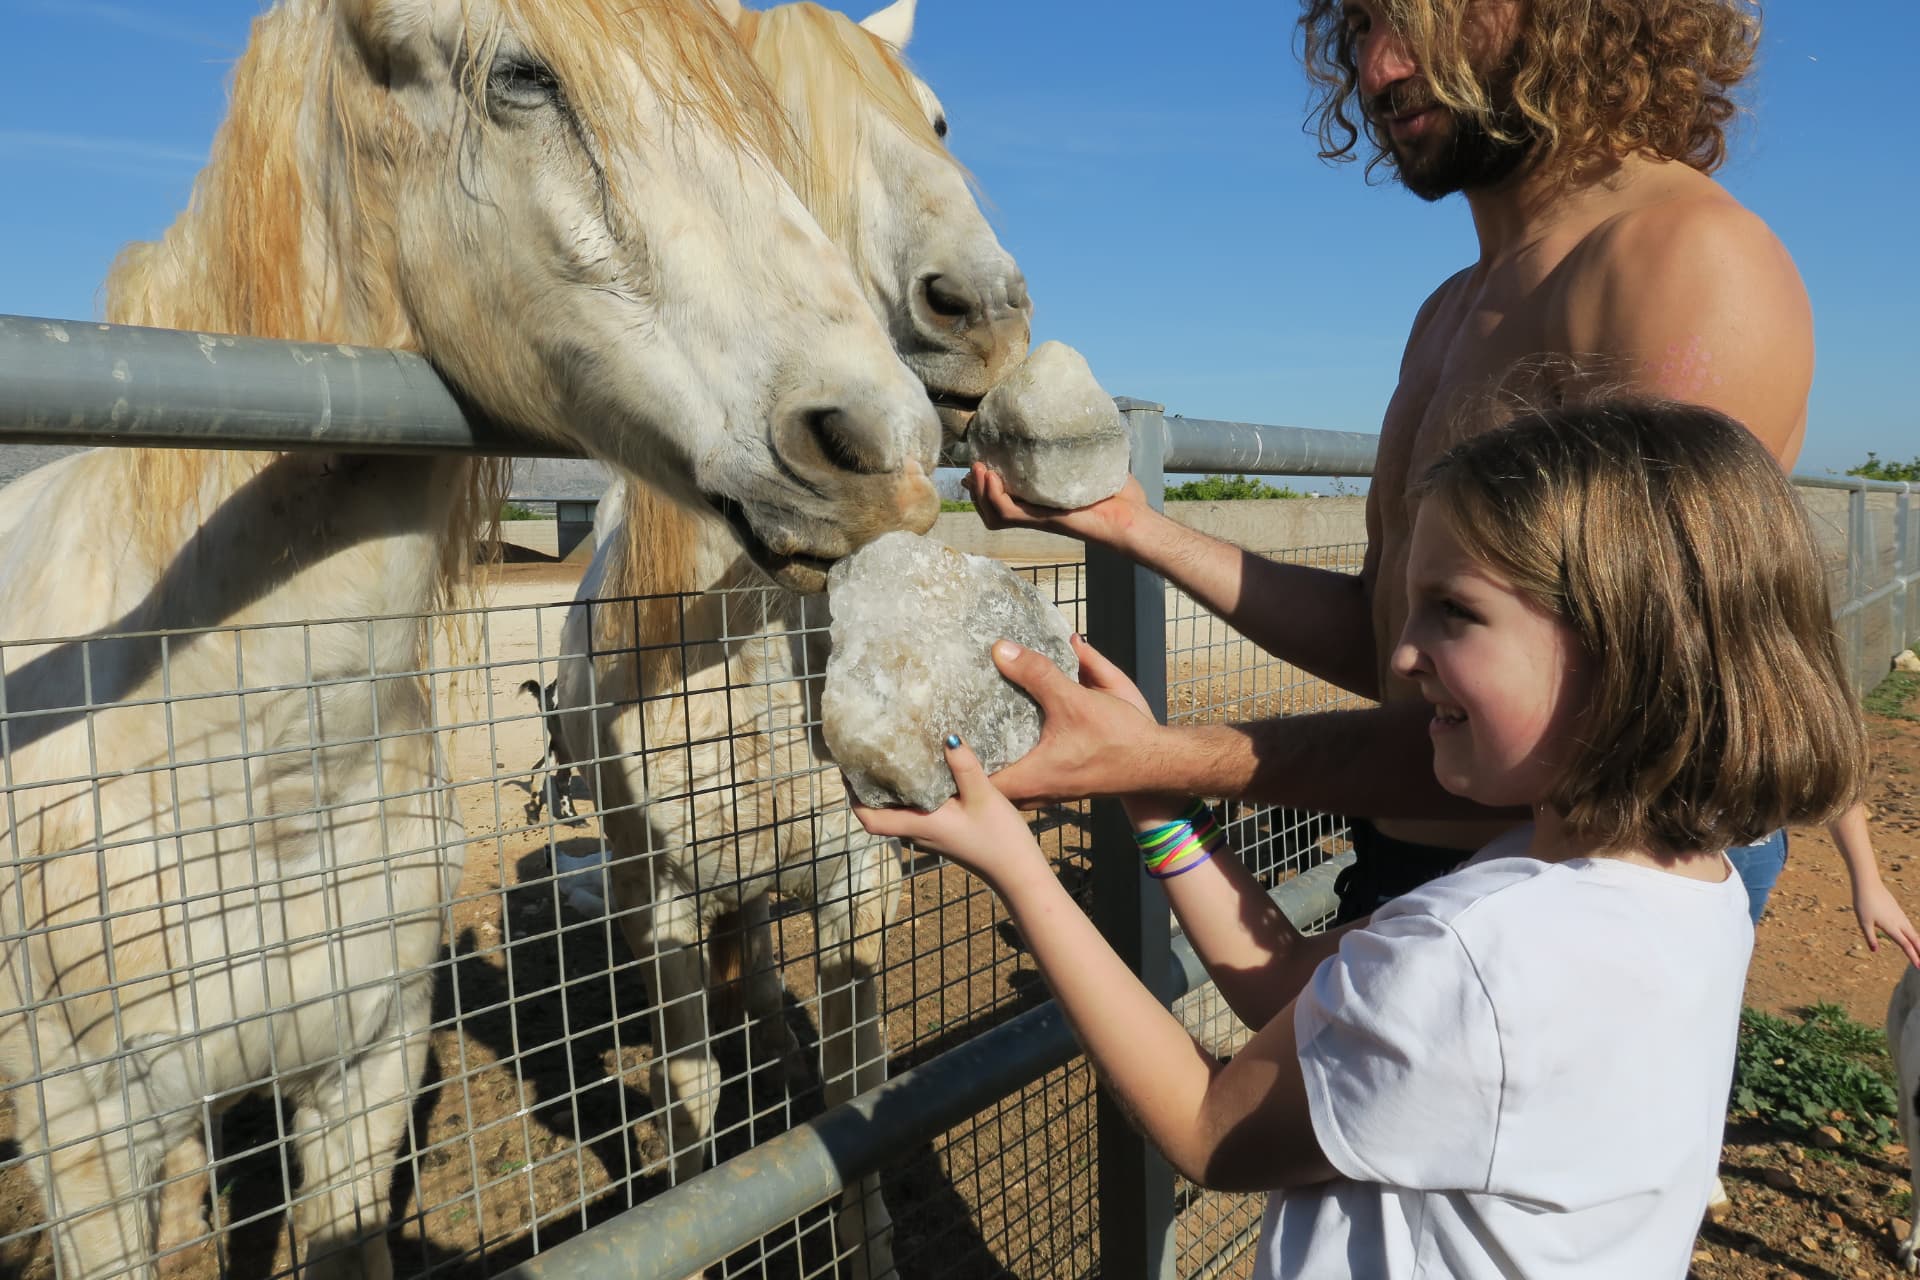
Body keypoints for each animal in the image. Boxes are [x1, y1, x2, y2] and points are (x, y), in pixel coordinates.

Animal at [552, 2, 1030, 1272]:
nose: (982, 309)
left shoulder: (856, 888)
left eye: (938, 120)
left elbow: (862, 1104)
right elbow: (687, 1101)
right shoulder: (670, 911)